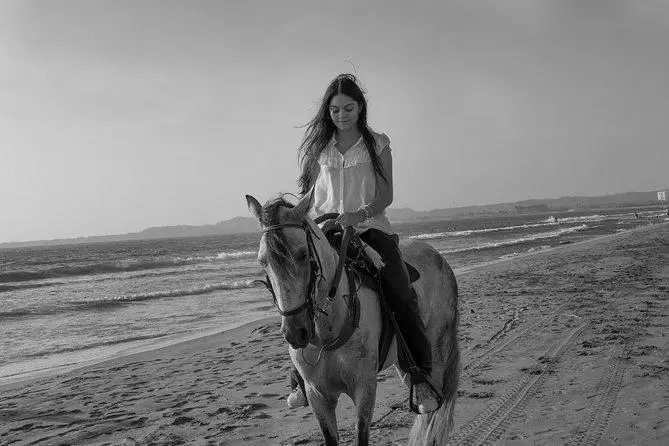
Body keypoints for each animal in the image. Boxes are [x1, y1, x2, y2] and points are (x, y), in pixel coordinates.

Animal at [245, 193, 460, 446]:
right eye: (262, 261)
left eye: (303, 254)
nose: (295, 333)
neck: (327, 329)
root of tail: (438, 256)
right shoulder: (318, 396)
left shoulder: (364, 389)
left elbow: (361, 436)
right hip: (402, 362)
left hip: (438, 348)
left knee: (432, 412)